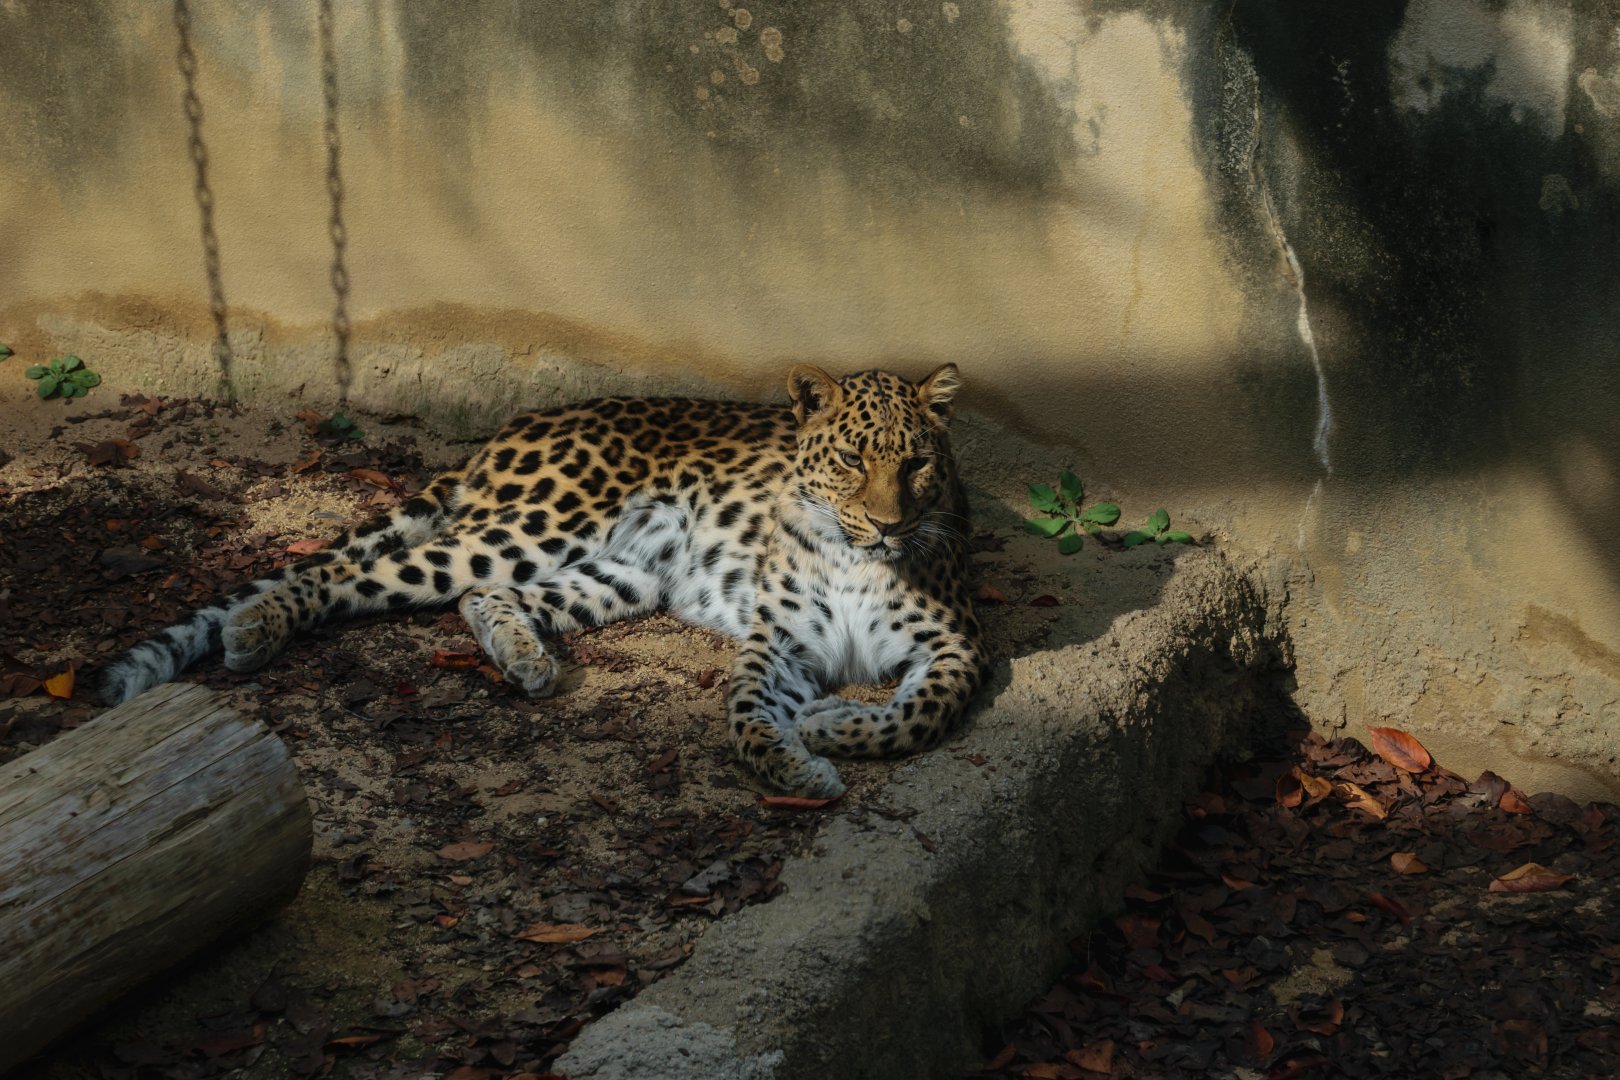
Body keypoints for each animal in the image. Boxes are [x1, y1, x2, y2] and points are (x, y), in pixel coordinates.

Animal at [101, 364, 985, 797]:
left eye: (917, 462)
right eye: (851, 461)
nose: (891, 526)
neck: (851, 554)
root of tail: (520, 423)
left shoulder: (957, 645)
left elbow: (919, 713)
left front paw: (832, 726)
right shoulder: (777, 647)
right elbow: (748, 722)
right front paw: (801, 763)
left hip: (624, 573)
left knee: (478, 595)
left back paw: (526, 659)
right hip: (538, 523)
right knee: (355, 569)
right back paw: (253, 626)